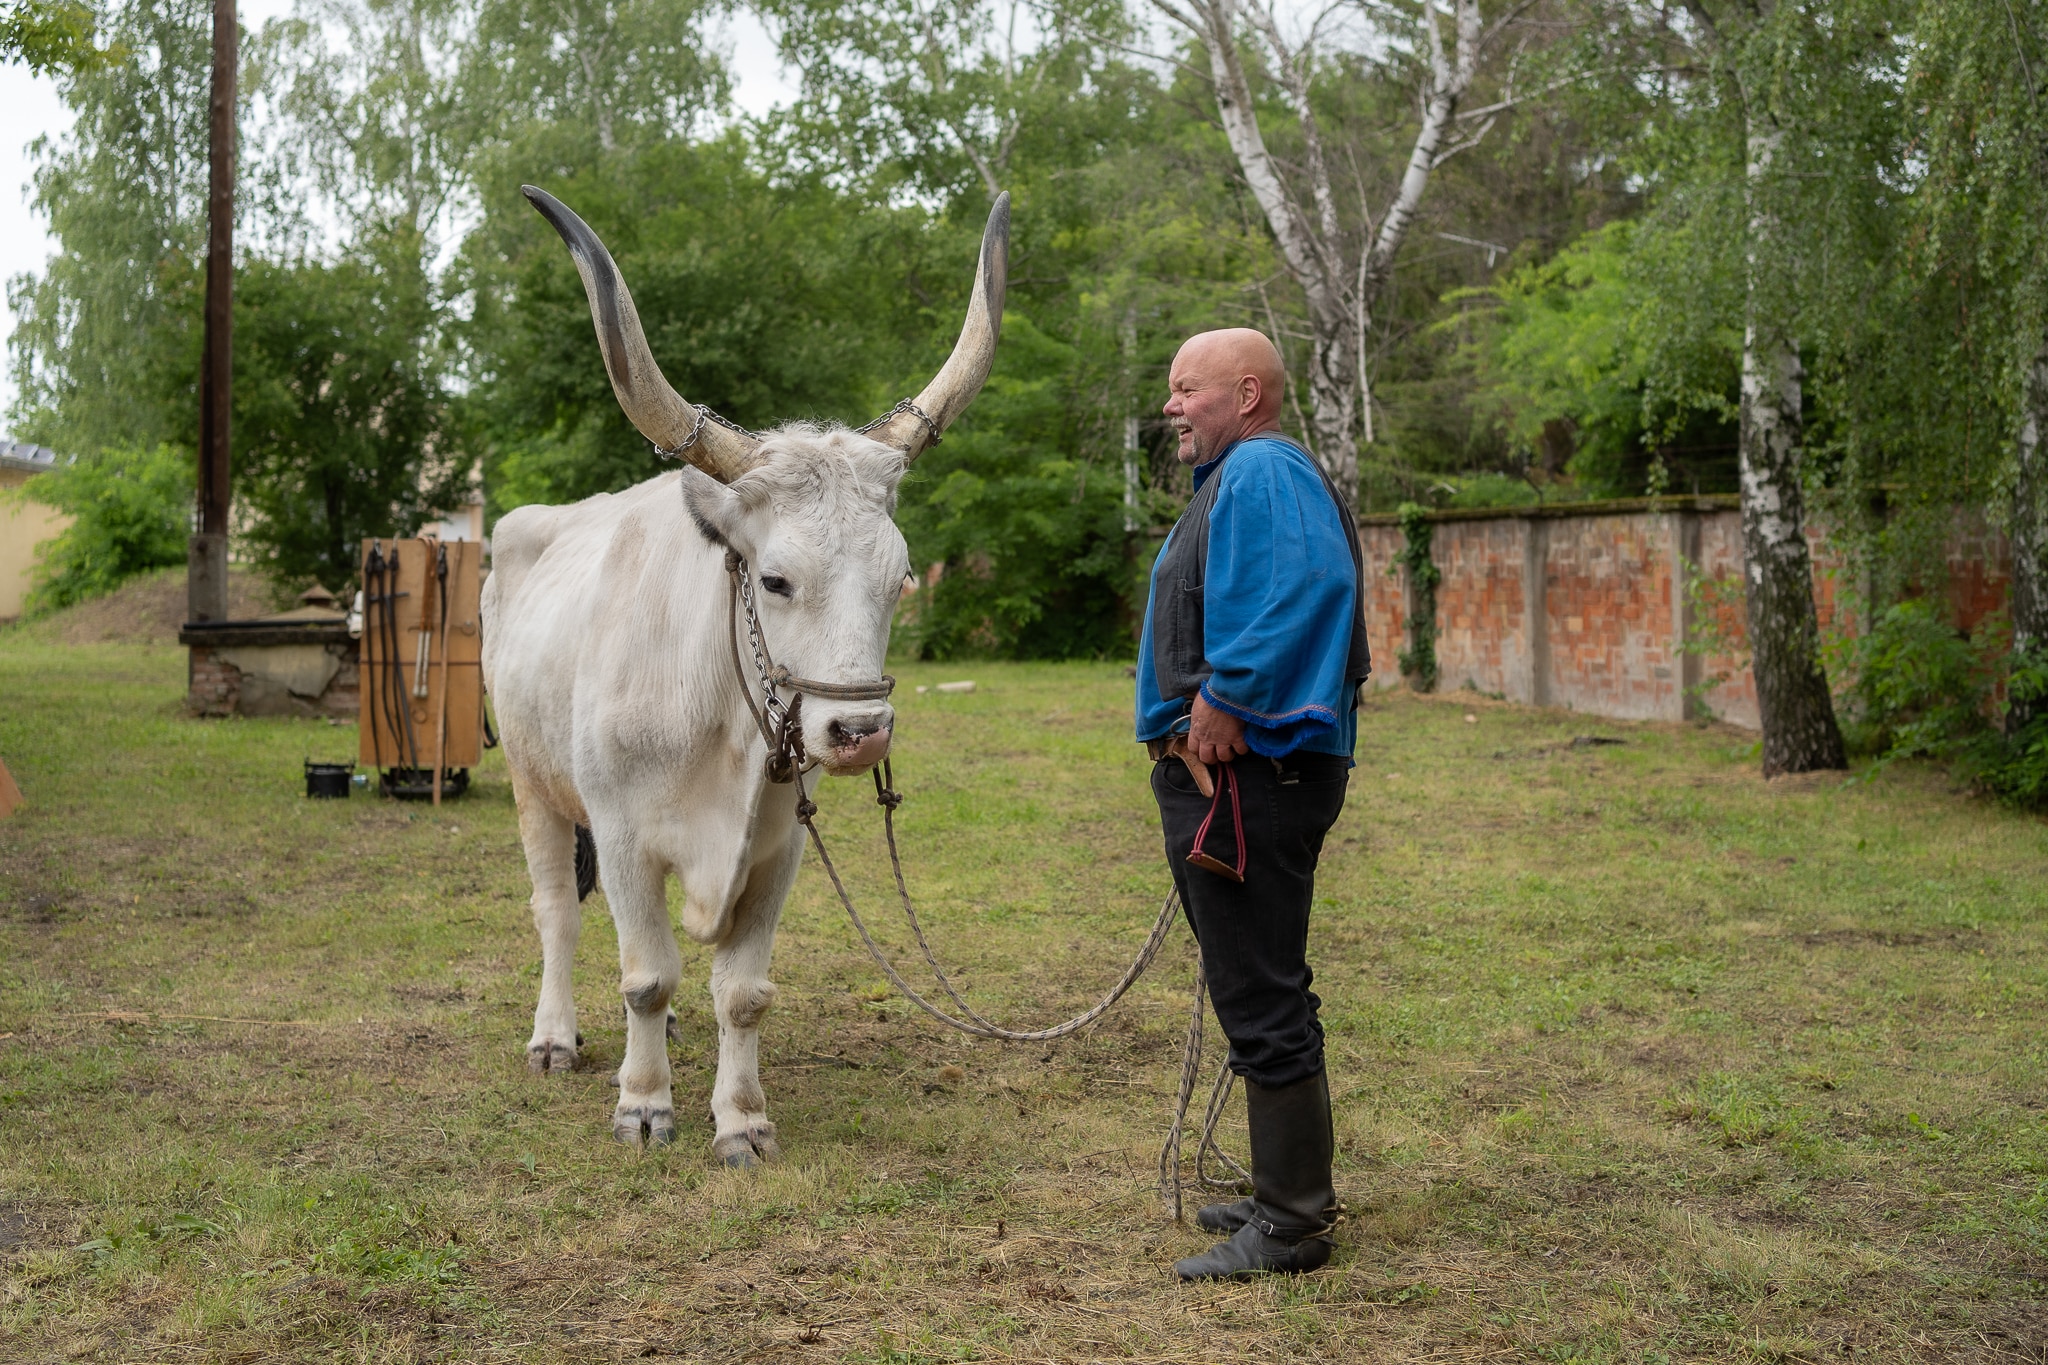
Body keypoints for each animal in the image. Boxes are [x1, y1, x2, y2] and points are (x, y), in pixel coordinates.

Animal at [481, 186, 1007, 1165]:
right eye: (774, 579)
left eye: (900, 577)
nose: (858, 731)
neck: (715, 725)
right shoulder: (622, 837)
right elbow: (644, 972)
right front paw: (644, 1104)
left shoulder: (775, 850)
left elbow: (742, 991)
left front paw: (742, 1118)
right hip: (534, 784)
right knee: (558, 912)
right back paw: (557, 1036)